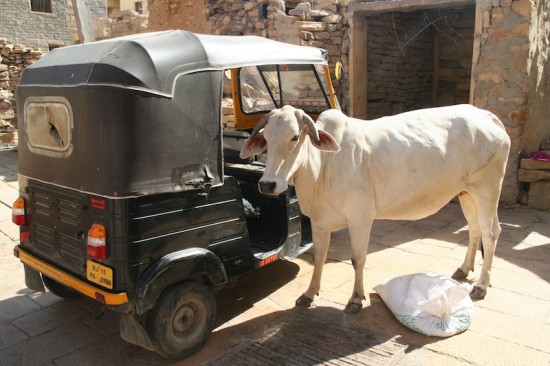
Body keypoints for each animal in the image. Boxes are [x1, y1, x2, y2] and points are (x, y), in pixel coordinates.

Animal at [242, 104, 512, 314]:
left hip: (488, 190)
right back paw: (464, 270)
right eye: (266, 139)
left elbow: (357, 258)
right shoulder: (319, 221)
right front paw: (309, 294)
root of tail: (488, 116)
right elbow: (319, 256)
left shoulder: (360, 217)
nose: (267, 184)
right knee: (475, 230)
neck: (325, 166)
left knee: (490, 234)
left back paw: (481, 285)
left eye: (295, 137)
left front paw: (355, 299)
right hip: (467, 193)